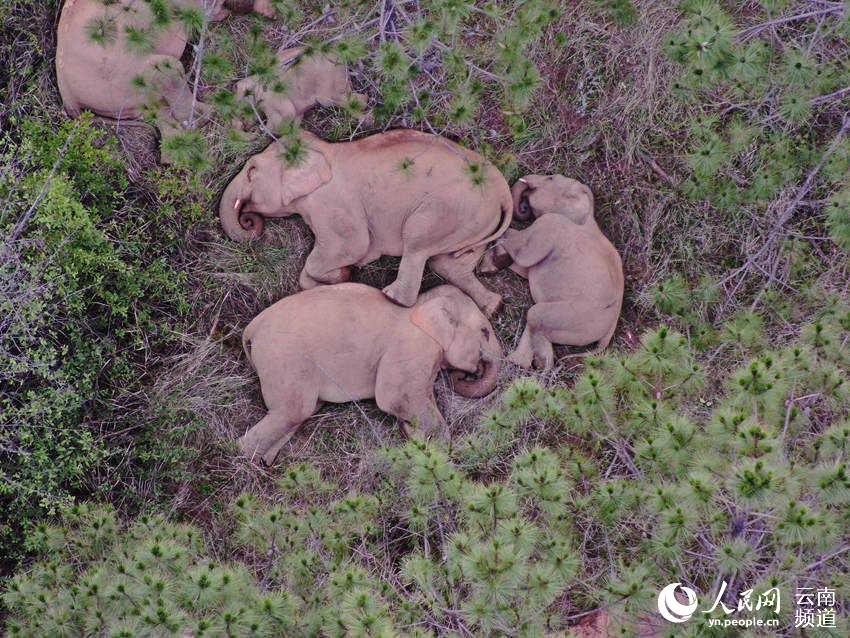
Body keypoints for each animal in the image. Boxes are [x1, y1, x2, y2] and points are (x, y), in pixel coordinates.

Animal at [219, 129, 513, 314]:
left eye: (252, 170)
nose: (249, 220)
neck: (324, 150)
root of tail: (503, 192)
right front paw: (340, 277)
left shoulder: (333, 204)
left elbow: (352, 245)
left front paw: (344, 273)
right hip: (476, 221)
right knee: (449, 263)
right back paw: (493, 307)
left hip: (448, 208)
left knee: (417, 243)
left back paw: (391, 296)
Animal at [233, 47, 368, 133]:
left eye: (243, 114)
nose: (246, 127)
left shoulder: (272, 100)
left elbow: (281, 119)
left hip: (329, 90)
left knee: (356, 100)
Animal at [237, 283, 503, 465]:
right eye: (485, 331)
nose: (469, 373)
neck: (423, 304)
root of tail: (252, 328)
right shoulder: (412, 346)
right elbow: (395, 397)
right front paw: (437, 453)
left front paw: (415, 436)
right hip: (284, 357)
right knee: (294, 410)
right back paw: (243, 457)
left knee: (298, 413)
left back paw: (264, 462)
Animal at [479, 175, 624, 369]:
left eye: (550, 178)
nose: (524, 206)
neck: (588, 216)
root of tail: (609, 333)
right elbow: (525, 268)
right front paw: (494, 263)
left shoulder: (550, 224)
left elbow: (523, 253)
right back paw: (518, 362)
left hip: (574, 318)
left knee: (535, 314)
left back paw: (540, 363)